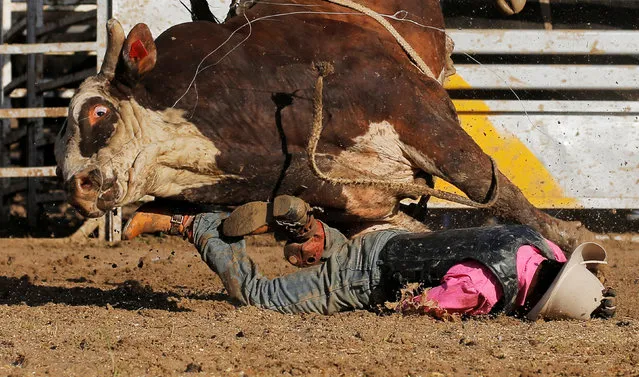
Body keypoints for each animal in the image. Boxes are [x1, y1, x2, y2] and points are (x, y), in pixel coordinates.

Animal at [53, 0, 592, 248]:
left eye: (99, 112)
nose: (75, 186)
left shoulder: (417, 111)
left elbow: (486, 183)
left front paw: (571, 240)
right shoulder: (355, 198)